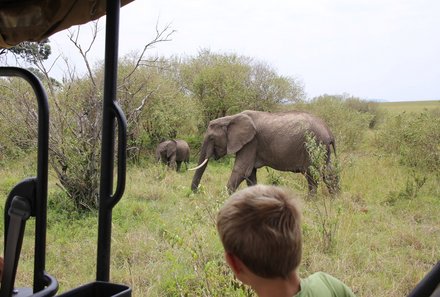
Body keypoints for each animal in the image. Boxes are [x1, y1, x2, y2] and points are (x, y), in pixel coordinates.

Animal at [191, 110, 338, 193]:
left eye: (211, 138)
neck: (230, 118)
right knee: (329, 173)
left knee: (312, 174)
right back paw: (335, 198)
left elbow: (241, 171)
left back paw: (311, 202)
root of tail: (329, 131)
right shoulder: (250, 145)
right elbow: (250, 174)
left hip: (315, 146)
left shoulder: (251, 142)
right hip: (323, 150)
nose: (195, 192)